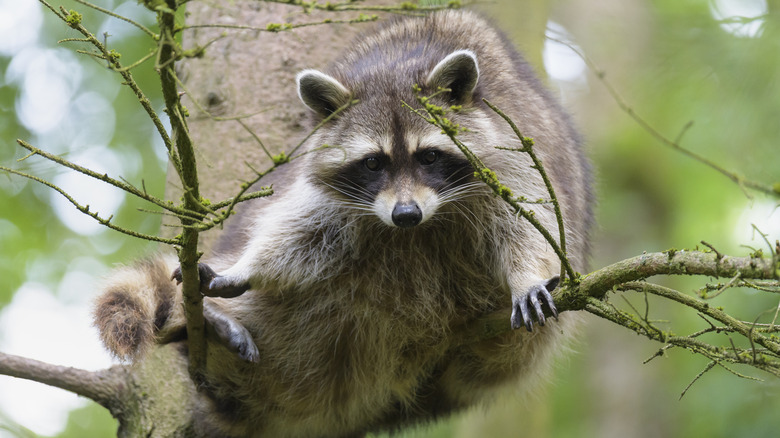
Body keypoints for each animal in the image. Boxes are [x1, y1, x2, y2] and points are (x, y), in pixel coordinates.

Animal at [94, 9, 592, 437]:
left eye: (429, 157)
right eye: (373, 163)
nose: (406, 215)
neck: (398, 65)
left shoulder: (511, 153)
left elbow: (526, 222)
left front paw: (526, 275)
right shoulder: (338, 194)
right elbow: (304, 230)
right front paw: (247, 267)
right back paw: (204, 324)